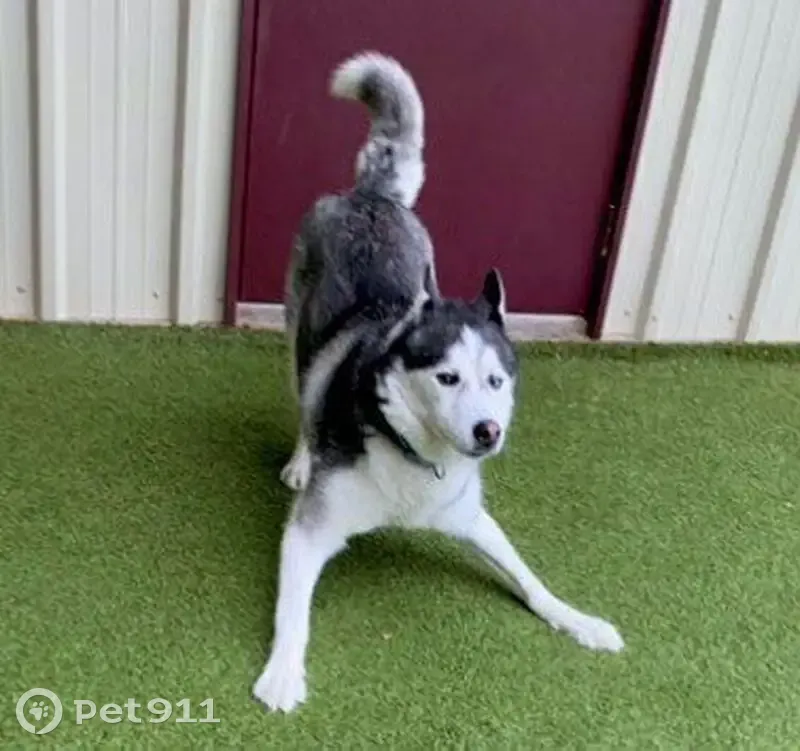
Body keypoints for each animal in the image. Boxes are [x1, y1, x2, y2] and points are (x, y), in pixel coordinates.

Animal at [252, 51, 624, 713]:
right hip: (295, 332)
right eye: (447, 378)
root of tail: (371, 195)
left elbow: (530, 579)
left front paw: (576, 619)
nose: (487, 432)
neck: (414, 459)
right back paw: (299, 458)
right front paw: (282, 674)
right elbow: (292, 613)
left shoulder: (473, 519)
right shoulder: (308, 531)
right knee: (305, 393)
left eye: (496, 381)